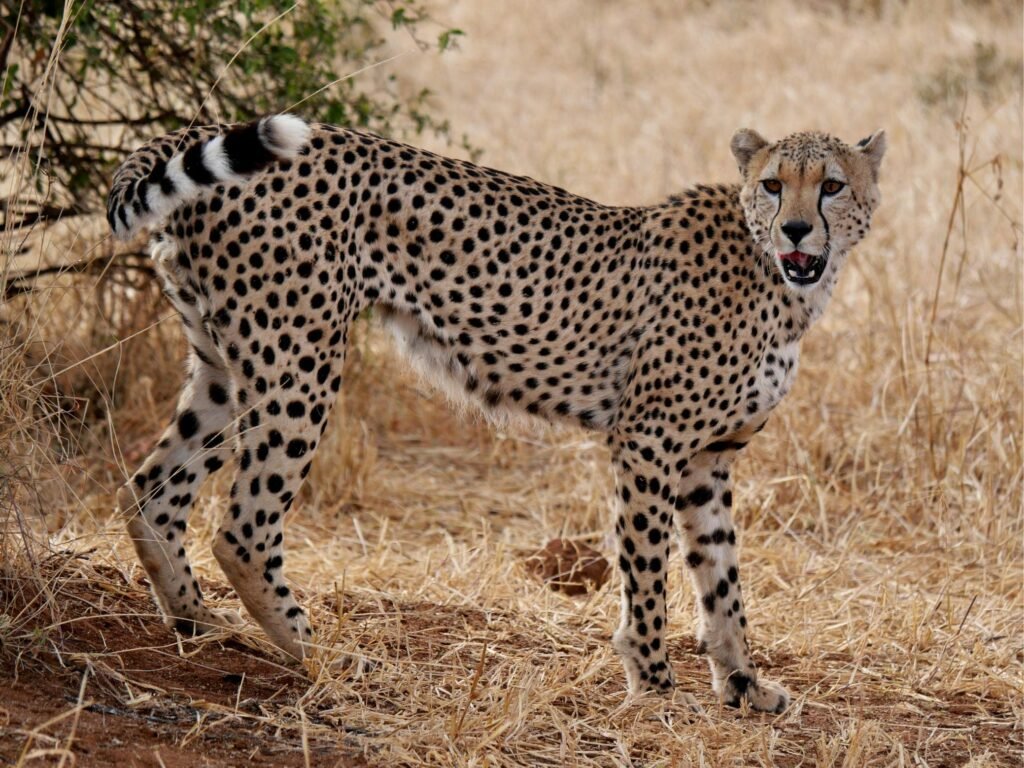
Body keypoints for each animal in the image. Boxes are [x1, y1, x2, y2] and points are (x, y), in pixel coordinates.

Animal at [107, 114, 885, 713]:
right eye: (773, 184)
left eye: (832, 186)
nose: (796, 231)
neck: (781, 280)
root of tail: (195, 128)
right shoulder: (648, 441)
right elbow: (647, 571)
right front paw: (654, 685)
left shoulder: (708, 459)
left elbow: (722, 581)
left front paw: (745, 686)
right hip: (296, 363)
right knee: (242, 527)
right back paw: (323, 652)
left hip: (224, 367)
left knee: (152, 491)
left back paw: (199, 624)